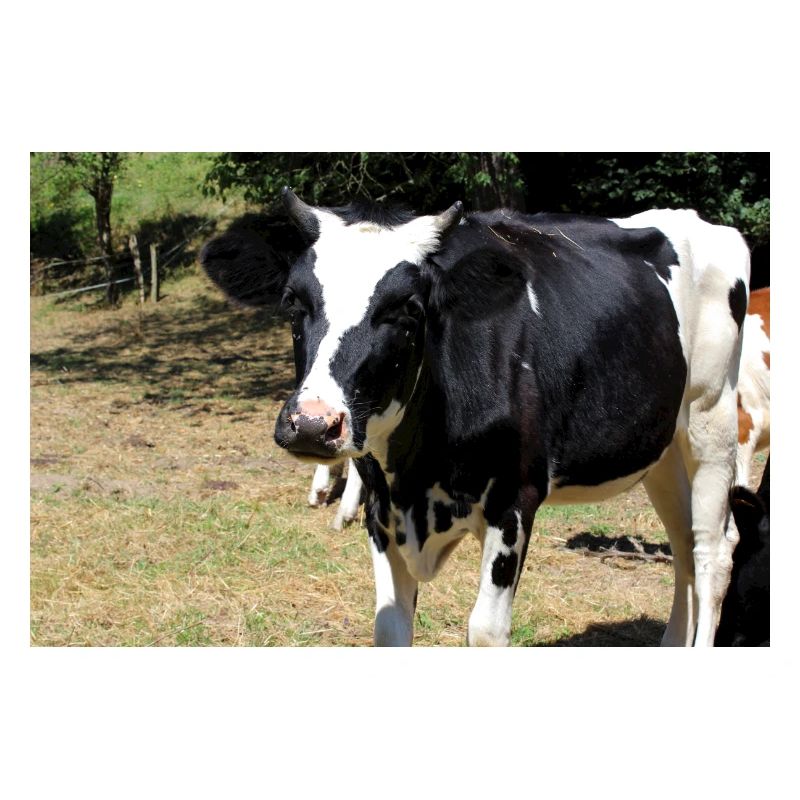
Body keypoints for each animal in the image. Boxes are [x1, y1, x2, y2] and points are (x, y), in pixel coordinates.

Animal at [201, 189, 751, 647]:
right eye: (293, 302)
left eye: (409, 308)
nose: (313, 424)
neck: (417, 474)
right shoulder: (381, 507)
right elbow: (389, 626)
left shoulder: (515, 498)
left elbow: (485, 630)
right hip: (661, 446)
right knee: (682, 543)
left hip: (711, 420)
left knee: (712, 549)